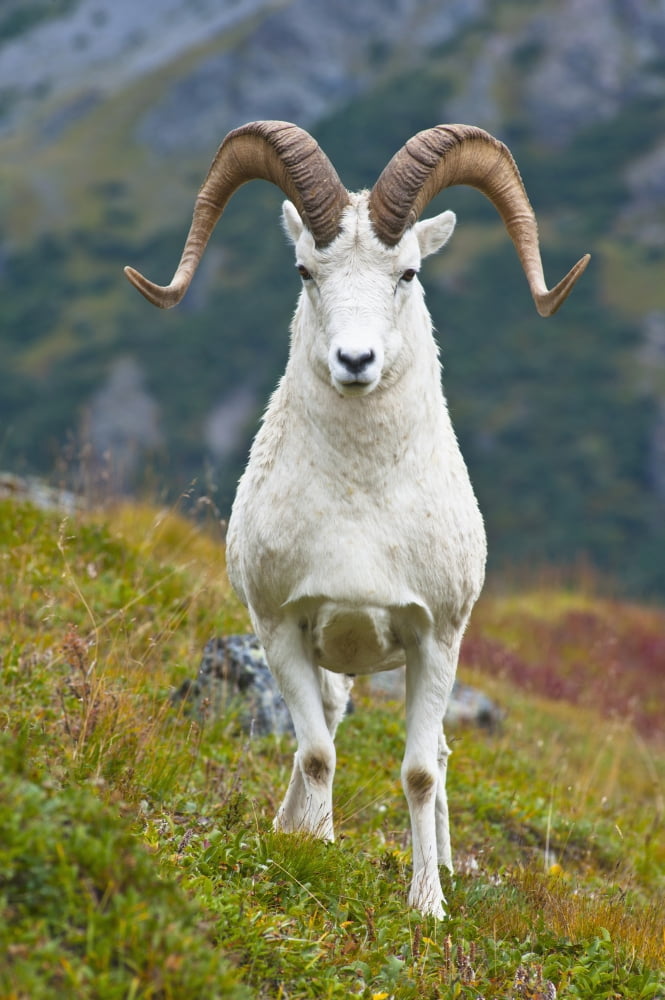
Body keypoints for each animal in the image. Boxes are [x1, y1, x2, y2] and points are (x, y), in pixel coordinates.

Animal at [125, 120, 589, 917]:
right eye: (307, 271)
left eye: (407, 273)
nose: (355, 360)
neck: (359, 509)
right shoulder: (280, 629)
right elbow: (317, 754)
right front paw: (308, 853)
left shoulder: (435, 640)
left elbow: (419, 774)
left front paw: (428, 905)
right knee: (327, 728)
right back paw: (296, 829)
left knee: (436, 755)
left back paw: (443, 868)